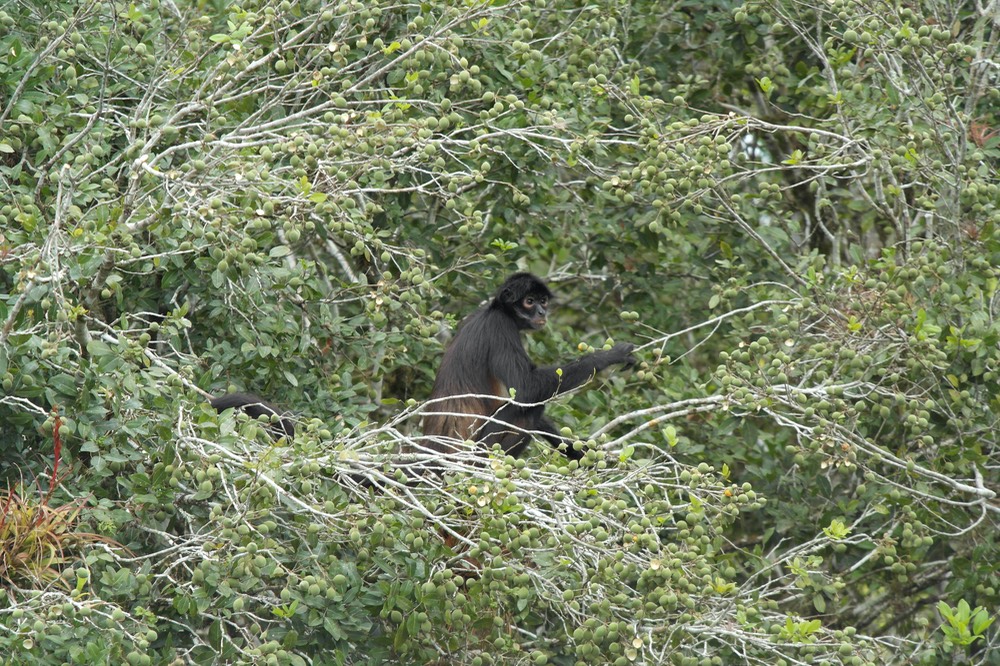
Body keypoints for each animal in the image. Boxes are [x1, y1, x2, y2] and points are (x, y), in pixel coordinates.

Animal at [423, 272, 634, 460]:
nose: (542, 312)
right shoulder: (501, 327)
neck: (497, 310)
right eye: (529, 301)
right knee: (531, 409)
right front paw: (609, 356)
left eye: (543, 301)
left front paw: (575, 450)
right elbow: (526, 388)